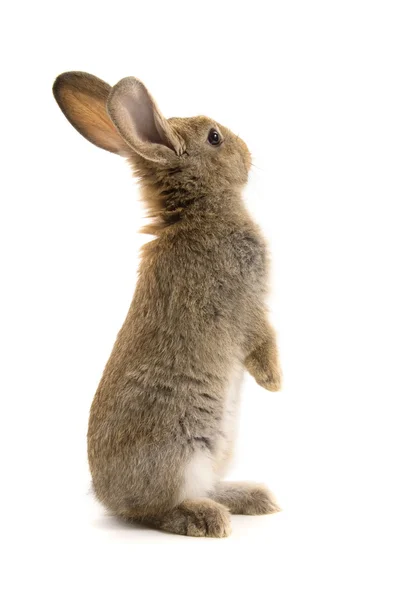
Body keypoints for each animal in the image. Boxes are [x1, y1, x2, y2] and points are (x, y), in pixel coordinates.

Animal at [53, 71, 282, 540]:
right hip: (180, 455)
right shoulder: (246, 303)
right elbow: (261, 338)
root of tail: (108, 496)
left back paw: (251, 498)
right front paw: (274, 382)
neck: (198, 212)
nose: (249, 152)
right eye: (214, 137)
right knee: (153, 511)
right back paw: (206, 518)